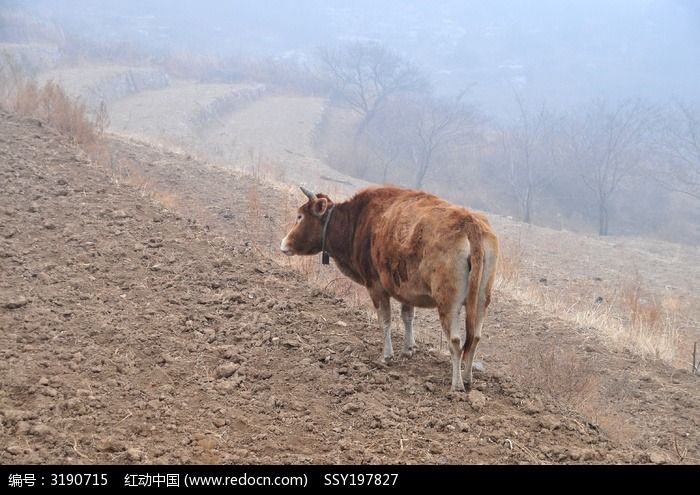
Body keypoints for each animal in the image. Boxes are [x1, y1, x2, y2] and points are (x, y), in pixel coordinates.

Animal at [278, 186, 498, 392]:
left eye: (300, 216)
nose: (283, 244)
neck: (358, 220)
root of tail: (469, 222)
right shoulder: (406, 289)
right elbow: (407, 316)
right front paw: (409, 348)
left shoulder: (376, 286)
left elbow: (385, 320)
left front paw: (386, 355)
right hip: (481, 301)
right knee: (474, 339)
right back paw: (467, 379)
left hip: (448, 303)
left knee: (456, 341)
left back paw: (457, 384)